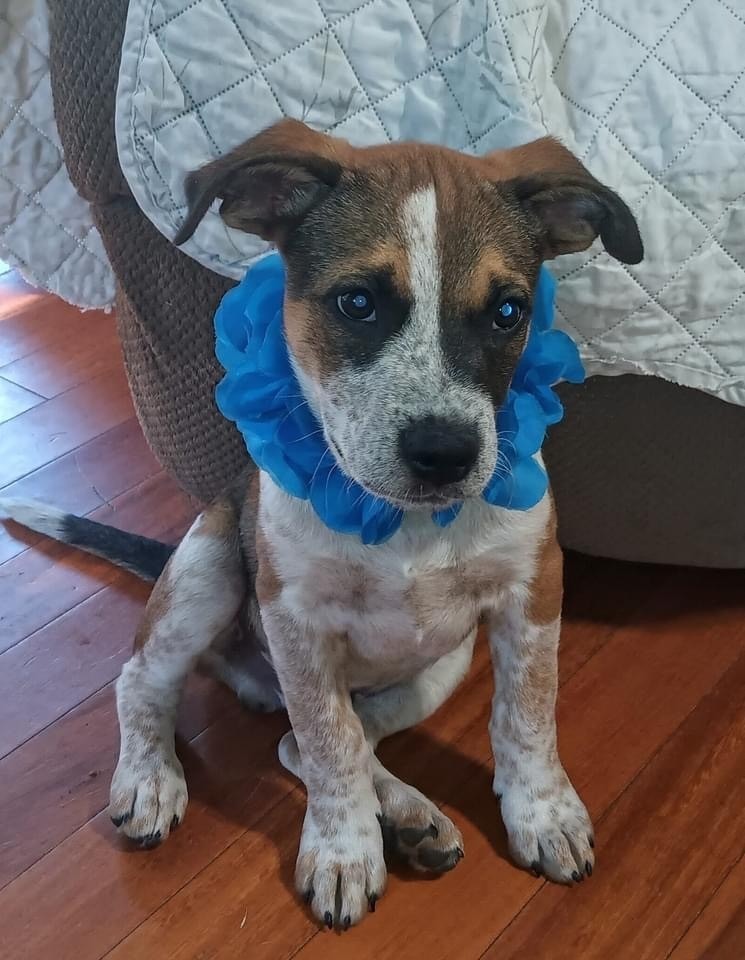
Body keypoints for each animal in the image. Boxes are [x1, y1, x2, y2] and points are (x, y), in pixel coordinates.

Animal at [0, 120, 640, 928]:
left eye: (507, 312)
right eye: (356, 303)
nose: (446, 455)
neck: (404, 524)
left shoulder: (532, 593)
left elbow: (527, 714)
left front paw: (543, 814)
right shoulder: (295, 618)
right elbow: (329, 745)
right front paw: (342, 852)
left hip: (438, 668)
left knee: (308, 742)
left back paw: (408, 814)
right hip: (210, 569)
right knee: (150, 684)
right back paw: (151, 779)